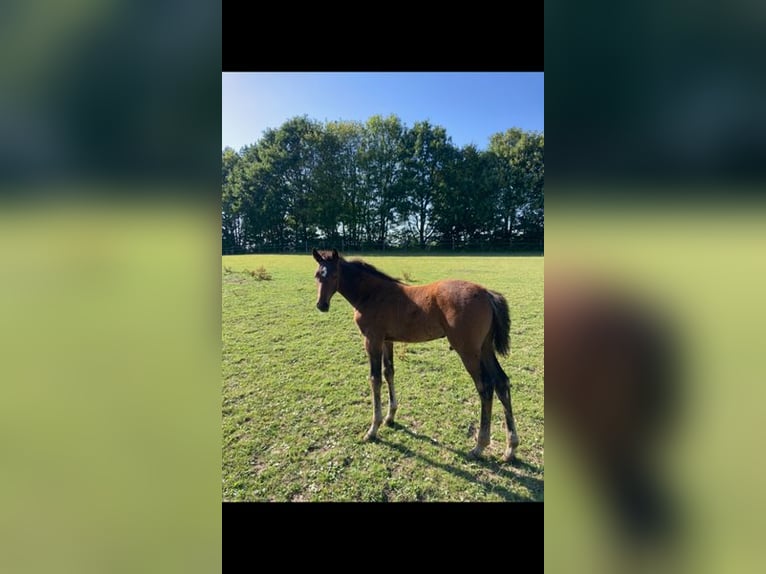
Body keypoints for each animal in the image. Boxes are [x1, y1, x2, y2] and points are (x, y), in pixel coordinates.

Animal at [314, 249, 520, 464]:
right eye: (317, 275)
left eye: (335, 275)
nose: (322, 305)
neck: (371, 294)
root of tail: (487, 294)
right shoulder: (387, 340)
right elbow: (389, 372)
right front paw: (390, 417)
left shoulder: (372, 340)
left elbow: (375, 379)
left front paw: (373, 429)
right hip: (485, 348)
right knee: (501, 382)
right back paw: (510, 448)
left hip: (468, 351)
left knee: (485, 387)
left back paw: (479, 446)